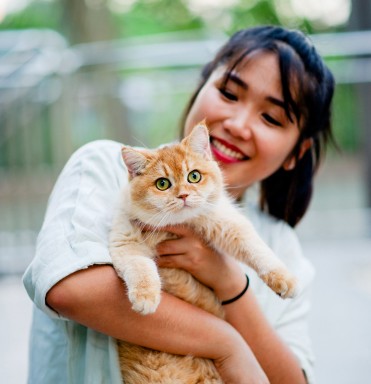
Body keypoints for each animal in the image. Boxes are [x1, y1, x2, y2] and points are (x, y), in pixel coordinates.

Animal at [109, 121, 298, 382]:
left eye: (194, 176)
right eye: (162, 184)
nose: (184, 195)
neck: (177, 227)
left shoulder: (227, 223)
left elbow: (257, 249)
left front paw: (284, 280)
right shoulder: (125, 243)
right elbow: (141, 268)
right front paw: (145, 297)